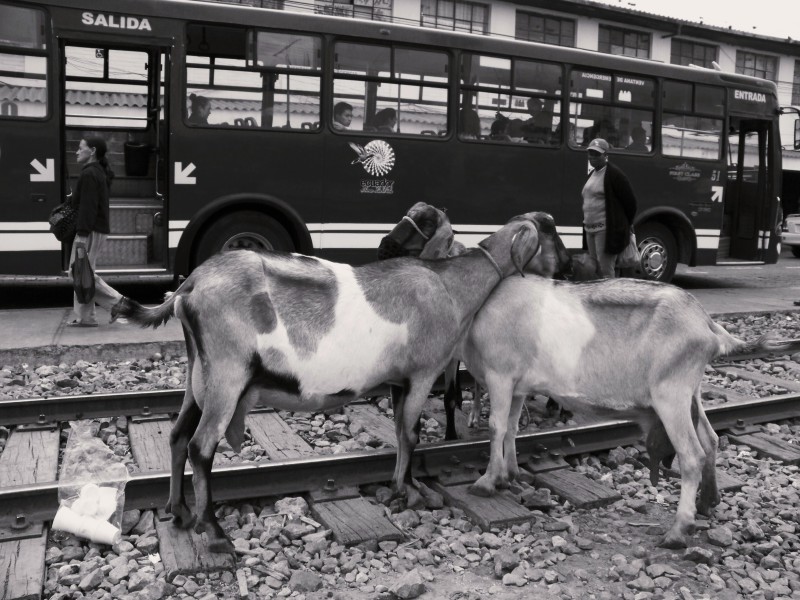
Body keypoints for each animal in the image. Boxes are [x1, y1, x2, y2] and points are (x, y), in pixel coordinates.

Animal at [114, 213, 544, 552]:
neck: (450, 286)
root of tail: (188, 286)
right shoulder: (423, 372)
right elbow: (411, 434)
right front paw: (409, 493)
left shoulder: (399, 381)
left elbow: (400, 431)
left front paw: (398, 486)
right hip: (226, 373)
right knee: (200, 446)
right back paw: (216, 534)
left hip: (198, 376)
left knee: (177, 436)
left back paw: (179, 511)